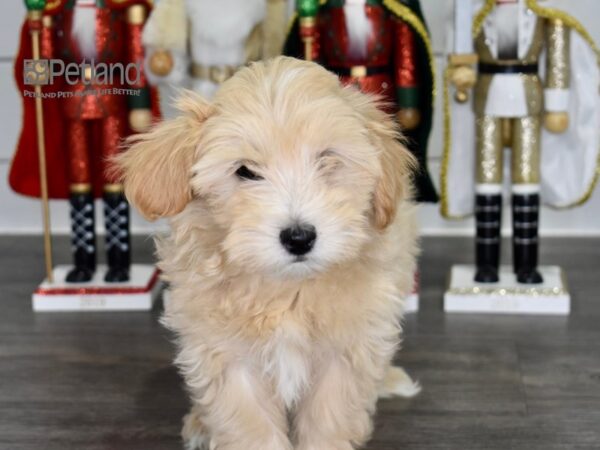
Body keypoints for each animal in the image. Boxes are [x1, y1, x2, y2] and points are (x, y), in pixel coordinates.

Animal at [116, 56, 418, 450]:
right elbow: (250, 426)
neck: (287, 289)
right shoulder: (227, 357)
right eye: (245, 171)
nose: (299, 237)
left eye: (327, 160)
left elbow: (328, 420)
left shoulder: (344, 353)